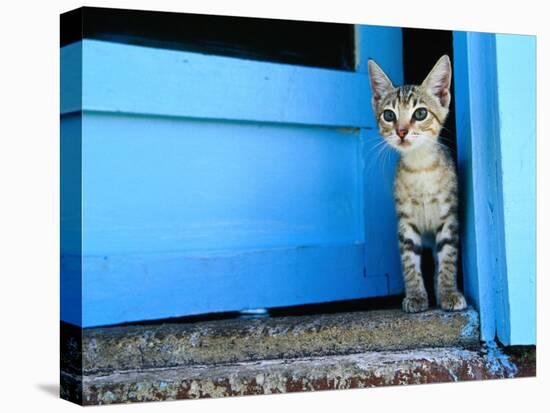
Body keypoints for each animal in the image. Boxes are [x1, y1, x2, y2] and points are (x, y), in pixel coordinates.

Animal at [368, 55, 468, 312]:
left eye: (420, 113)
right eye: (389, 115)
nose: (402, 131)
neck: (420, 168)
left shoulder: (448, 218)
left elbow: (448, 258)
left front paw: (448, 292)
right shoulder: (405, 222)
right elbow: (409, 262)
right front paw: (415, 296)